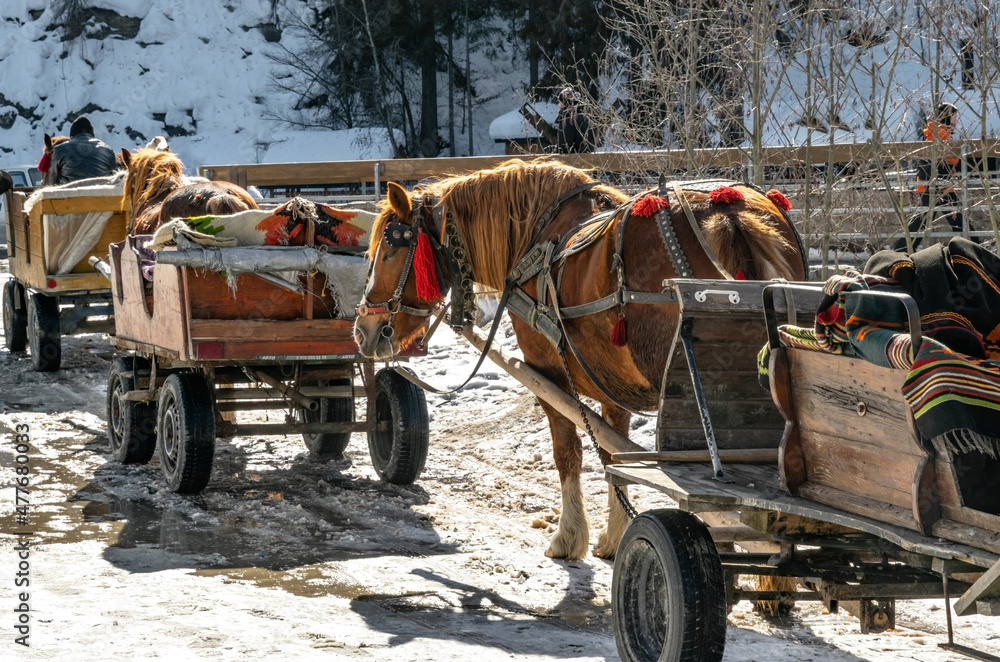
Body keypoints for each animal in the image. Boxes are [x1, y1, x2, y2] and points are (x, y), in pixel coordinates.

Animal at [354, 158, 807, 561]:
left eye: (388, 251)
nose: (363, 329)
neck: (534, 236)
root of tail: (730, 212)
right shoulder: (614, 384)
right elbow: (614, 455)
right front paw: (614, 534)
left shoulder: (548, 375)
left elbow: (568, 451)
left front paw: (569, 537)